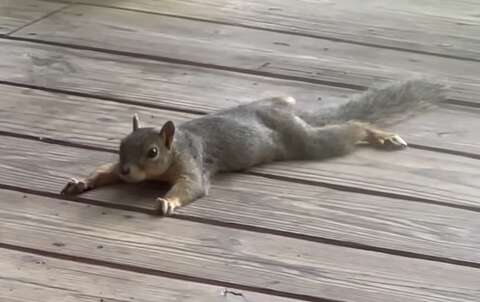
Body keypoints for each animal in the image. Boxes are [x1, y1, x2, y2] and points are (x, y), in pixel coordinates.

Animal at [61, 78, 446, 215]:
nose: (127, 171)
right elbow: (103, 172)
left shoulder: (192, 163)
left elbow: (191, 186)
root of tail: (290, 114)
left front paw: (168, 201)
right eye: (121, 146)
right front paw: (82, 181)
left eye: (153, 152)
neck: (176, 146)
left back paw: (377, 133)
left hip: (306, 141)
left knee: (349, 128)